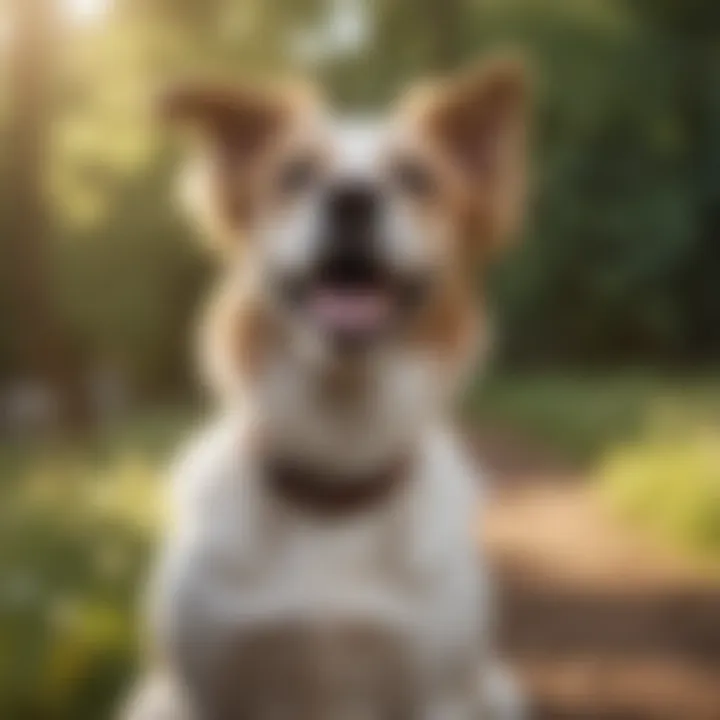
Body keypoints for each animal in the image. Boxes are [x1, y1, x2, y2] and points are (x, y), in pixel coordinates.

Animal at [122, 56, 528, 720]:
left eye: (415, 177)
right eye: (295, 174)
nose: (351, 199)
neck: (337, 475)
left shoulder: (435, 692)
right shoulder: (203, 691)